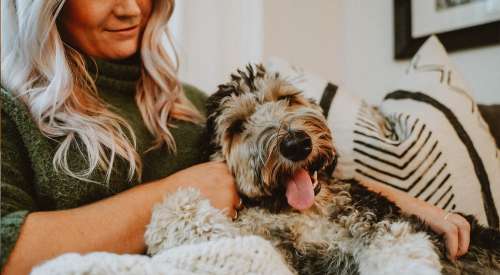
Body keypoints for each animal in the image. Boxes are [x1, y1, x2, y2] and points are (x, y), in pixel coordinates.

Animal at [204, 65, 500, 275]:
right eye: (237, 127)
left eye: (286, 99)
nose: (296, 144)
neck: (305, 213)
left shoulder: (378, 221)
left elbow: (399, 250)